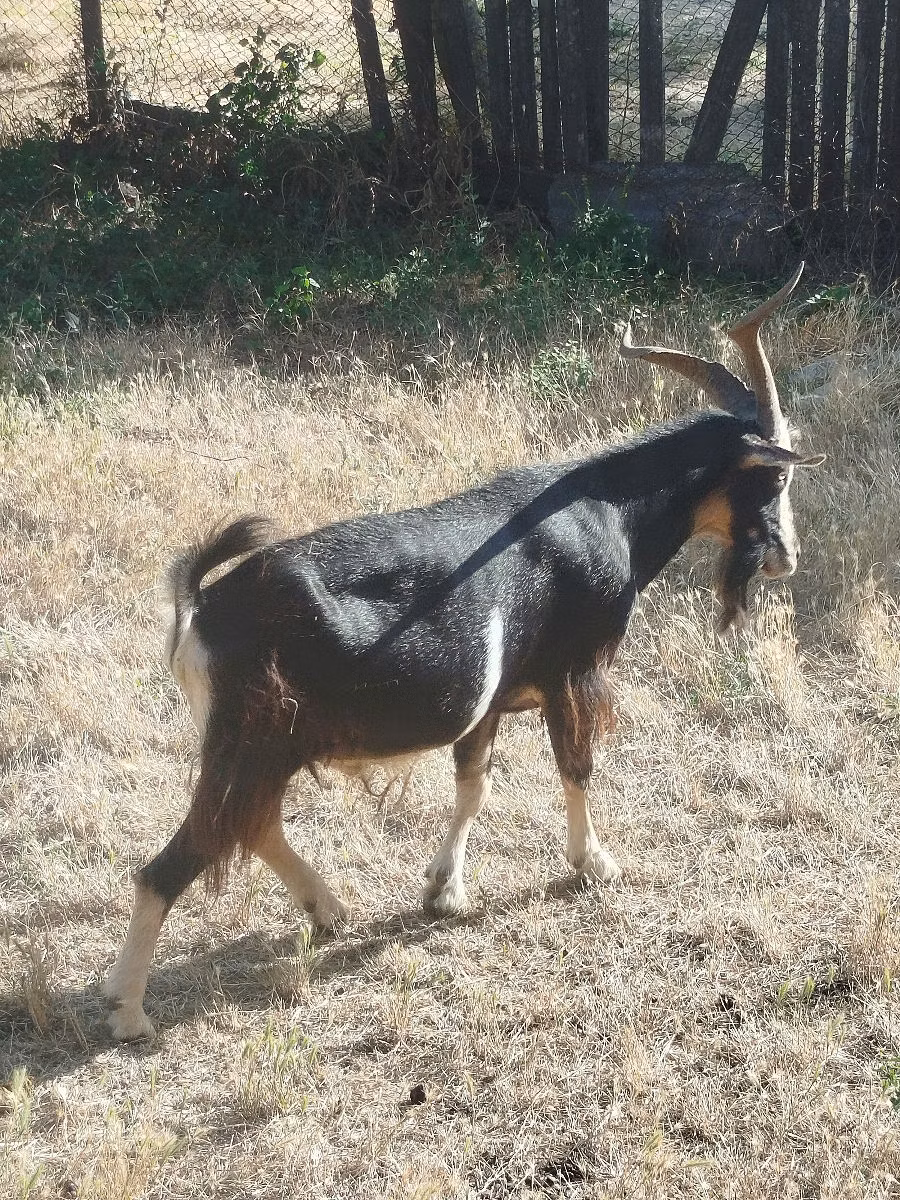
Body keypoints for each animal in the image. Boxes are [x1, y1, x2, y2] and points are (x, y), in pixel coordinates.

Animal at [103, 265, 824, 1040]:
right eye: (777, 475)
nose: (786, 559)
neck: (611, 514)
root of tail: (200, 611)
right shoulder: (573, 673)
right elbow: (577, 767)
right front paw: (595, 864)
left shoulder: (494, 699)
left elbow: (473, 784)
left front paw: (443, 891)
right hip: (253, 738)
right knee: (173, 863)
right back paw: (129, 1013)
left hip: (264, 744)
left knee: (251, 824)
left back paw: (329, 912)